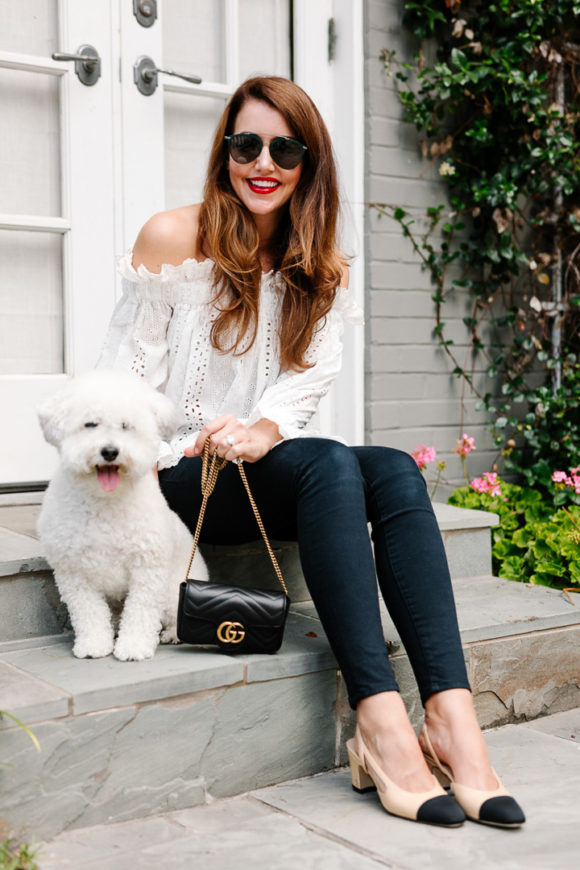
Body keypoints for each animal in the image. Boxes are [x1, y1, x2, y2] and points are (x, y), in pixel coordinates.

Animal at [37, 372, 207, 664]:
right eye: (90, 424)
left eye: (126, 426)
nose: (109, 451)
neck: (105, 501)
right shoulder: (74, 570)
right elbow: (89, 612)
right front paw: (94, 644)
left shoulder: (147, 567)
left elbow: (141, 611)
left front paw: (134, 647)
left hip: (175, 590)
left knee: (173, 615)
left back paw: (173, 634)